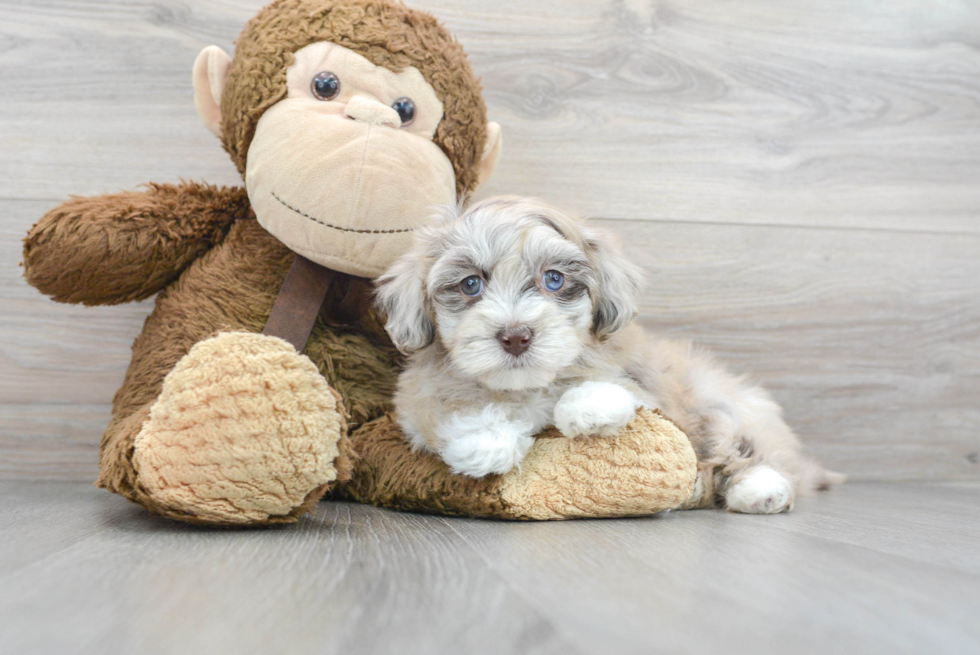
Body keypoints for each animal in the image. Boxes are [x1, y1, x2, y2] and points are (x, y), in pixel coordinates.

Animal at [376, 197, 844, 516]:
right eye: (470, 284)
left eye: (553, 279)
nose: (515, 336)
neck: (526, 387)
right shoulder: (416, 401)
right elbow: (450, 410)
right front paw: (486, 441)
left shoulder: (647, 387)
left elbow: (612, 387)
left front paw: (589, 406)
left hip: (723, 402)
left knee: (746, 449)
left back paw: (761, 489)